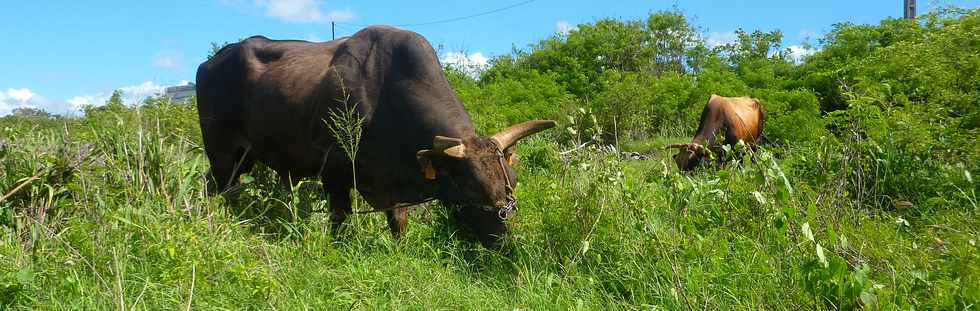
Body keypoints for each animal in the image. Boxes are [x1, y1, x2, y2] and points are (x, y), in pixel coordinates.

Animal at [195, 26, 556, 246]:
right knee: (222, 190)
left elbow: (398, 221)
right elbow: (339, 216)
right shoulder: (335, 169)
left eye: (512, 179)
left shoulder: (392, 186)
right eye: (470, 186)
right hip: (224, 153)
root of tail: (211, 61)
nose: (504, 239)